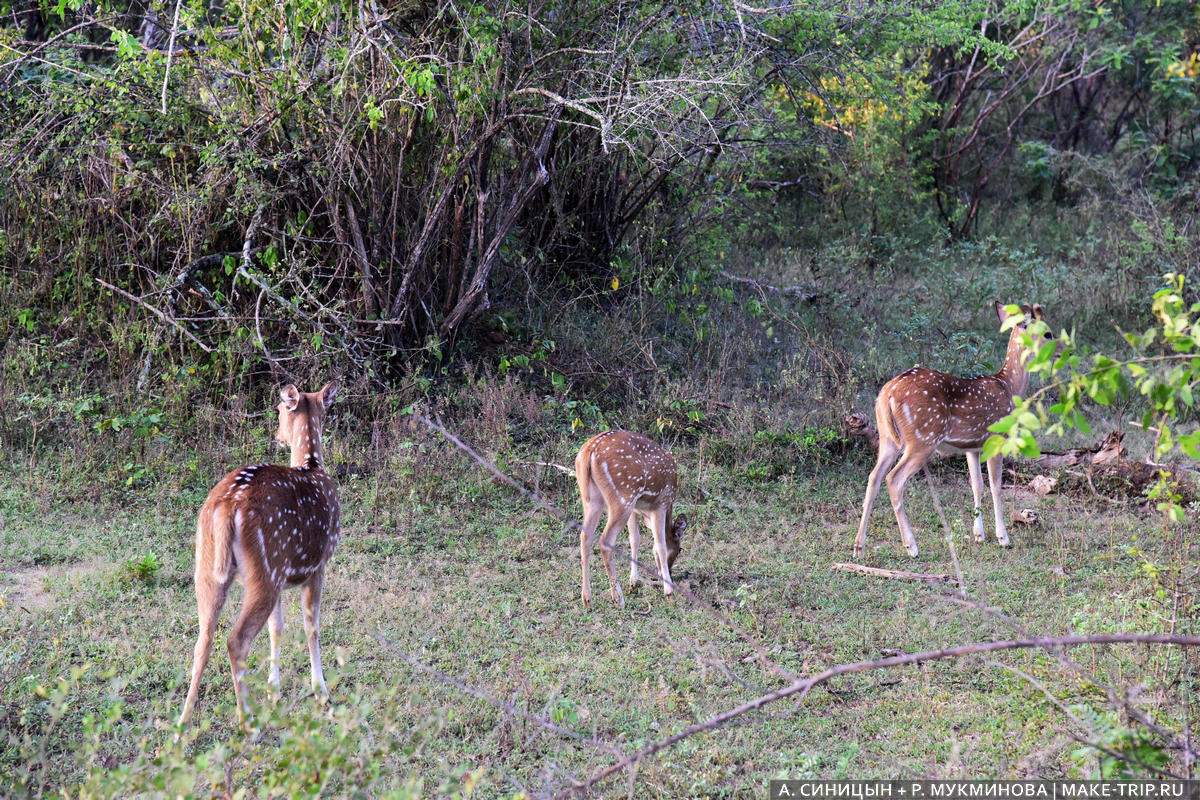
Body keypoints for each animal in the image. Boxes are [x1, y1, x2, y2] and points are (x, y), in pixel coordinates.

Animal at [180, 381, 345, 734]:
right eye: (280, 409)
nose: (277, 435)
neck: (312, 464)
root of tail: (226, 507)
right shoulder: (319, 563)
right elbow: (311, 625)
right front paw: (321, 692)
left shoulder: (284, 575)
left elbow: (277, 628)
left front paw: (273, 690)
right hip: (264, 571)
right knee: (235, 639)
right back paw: (247, 723)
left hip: (209, 568)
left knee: (203, 638)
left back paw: (182, 723)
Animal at [578, 431, 691, 606]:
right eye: (680, 549)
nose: (671, 571)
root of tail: (589, 451)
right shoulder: (660, 504)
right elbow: (660, 545)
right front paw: (669, 592)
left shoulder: (636, 509)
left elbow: (635, 540)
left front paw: (633, 583)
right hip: (623, 496)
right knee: (605, 540)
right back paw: (618, 599)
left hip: (591, 499)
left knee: (585, 536)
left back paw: (587, 599)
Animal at [854, 303, 1051, 561]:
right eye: (1047, 333)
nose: (1059, 349)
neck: (1009, 386)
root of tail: (886, 395)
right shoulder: (996, 438)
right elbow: (996, 487)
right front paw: (1003, 538)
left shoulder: (972, 447)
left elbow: (977, 485)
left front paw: (979, 535)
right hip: (922, 438)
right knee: (893, 479)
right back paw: (912, 547)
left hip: (887, 437)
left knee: (874, 477)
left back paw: (859, 547)